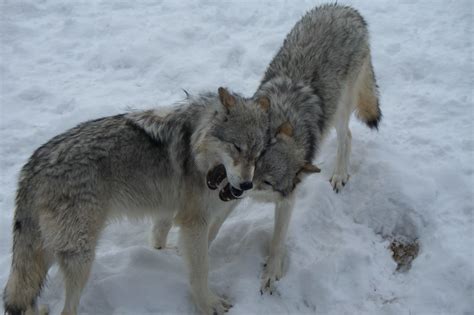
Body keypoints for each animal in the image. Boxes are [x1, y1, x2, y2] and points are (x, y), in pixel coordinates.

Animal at [1, 88, 270, 315]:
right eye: (236, 147)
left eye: (257, 152)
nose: (246, 186)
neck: (196, 146)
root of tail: (31, 167)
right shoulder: (195, 222)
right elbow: (200, 271)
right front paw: (209, 305)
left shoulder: (169, 210)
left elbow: (159, 235)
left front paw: (163, 254)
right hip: (81, 257)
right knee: (65, 310)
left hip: (49, 251)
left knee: (26, 296)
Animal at [202, 3, 384, 296]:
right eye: (254, 161)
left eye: (267, 181)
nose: (240, 187)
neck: (283, 116)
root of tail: (348, 9)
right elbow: (213, 228)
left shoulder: (286, 202)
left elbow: (277, 242)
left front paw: (270, 274)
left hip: (340, 110)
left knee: (347, 136)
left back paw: (339, 174)